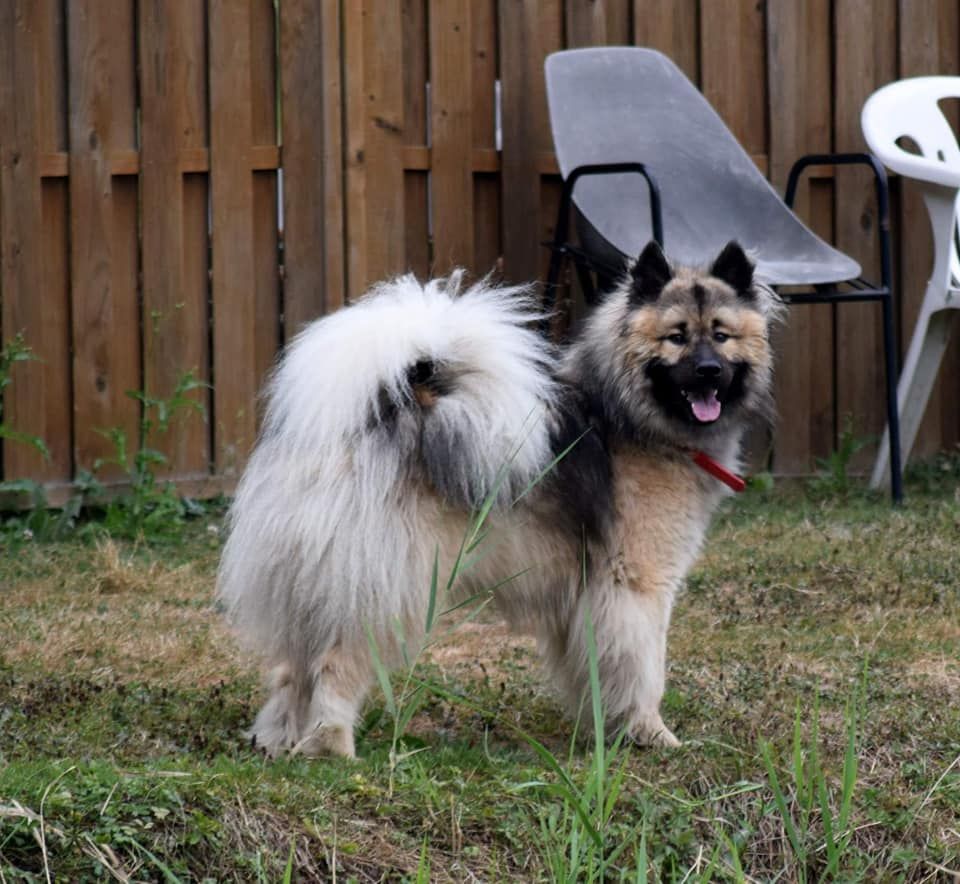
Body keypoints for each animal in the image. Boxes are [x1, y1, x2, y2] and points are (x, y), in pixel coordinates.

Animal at [218, 238, 780, 756]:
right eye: (676, 337)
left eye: (721, 335)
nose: (709, 371)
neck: (629, 416)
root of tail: (359, 422)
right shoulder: (637, 585)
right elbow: (644, 668)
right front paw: (650, 733)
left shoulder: (586, 599)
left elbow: (591, 668)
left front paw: (601, 728)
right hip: (389, 589)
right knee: (336, 663)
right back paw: (330, 746)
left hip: (314, 585)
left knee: (291, 669)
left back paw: (278, 742)